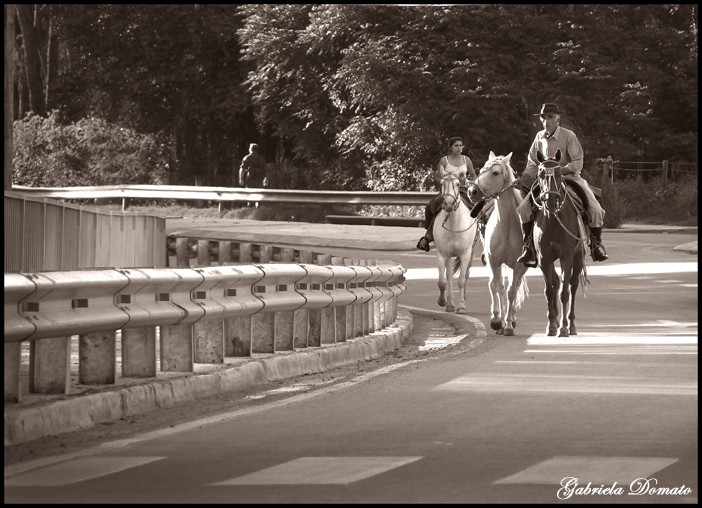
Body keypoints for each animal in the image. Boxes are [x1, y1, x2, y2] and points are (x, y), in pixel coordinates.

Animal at [434, 174, 484, 314]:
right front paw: (443, 301)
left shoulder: (465, 255)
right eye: (441, 184)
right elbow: (442, 282)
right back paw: (450, 303)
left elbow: (461, 280)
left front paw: (461, 306)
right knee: (449, 277)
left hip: (472, 254)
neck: (453, 225)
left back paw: (464, 299)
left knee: (466, 275)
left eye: (457, 184)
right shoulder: (442, 255)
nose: (449, 204)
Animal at [470, 152, 532, 334]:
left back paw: (510, 320)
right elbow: (495, 286)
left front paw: (509, 324)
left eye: (495, 172)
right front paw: (496, 320)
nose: (472, 191)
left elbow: (512, 292)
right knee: (501, 287)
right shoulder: (493, 260)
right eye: (482, 170)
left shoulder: (519, 265)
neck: (506, 225)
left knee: (513, 288)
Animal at [536, 149, 592, 336]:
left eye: (559, 173)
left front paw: (564, 327)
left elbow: (564, 292)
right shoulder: (544, 259)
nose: (551, 201)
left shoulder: (566, 257)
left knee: (572, 286)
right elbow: (549, 290)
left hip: (578, 257)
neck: (553, 222)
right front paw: (551, 325)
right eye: (540, 174)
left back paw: (571, 324)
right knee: (556, 283)